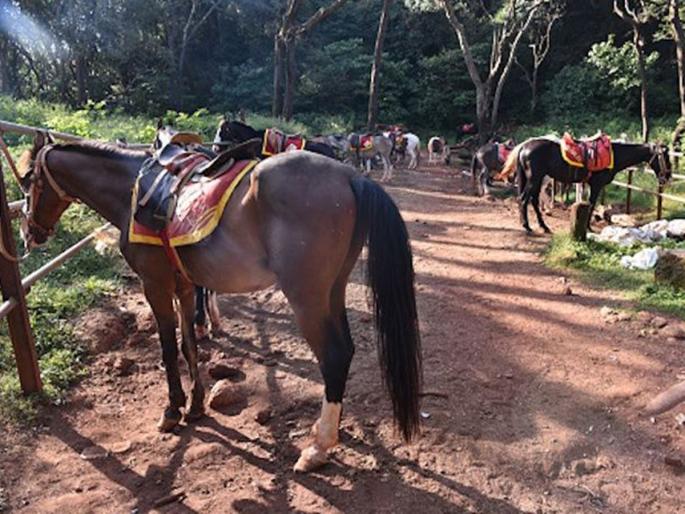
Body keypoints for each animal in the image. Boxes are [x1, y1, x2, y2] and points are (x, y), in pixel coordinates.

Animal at [18, 130, 422, 473]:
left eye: (27, 181)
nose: (28, 233)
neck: (131, 190)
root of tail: (351, 177)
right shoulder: (183, 285)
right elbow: (189, 344)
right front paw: (196, 405)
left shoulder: (155, 285)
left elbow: (168, 348)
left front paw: (172, 410)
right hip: (332, 291)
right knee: (346, 351)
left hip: (307, 298)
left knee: (334, 356)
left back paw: (318, 448)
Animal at [498, 137, 672, 233]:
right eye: (665, 156)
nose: (668, 176)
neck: (614, 155)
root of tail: (524, 146)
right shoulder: (596, 184)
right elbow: (591, 204)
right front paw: (588, 227)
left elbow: (588, 204)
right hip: (534, 179)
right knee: (523, 199)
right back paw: (527, 226)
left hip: (536, 179)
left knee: (532, 200)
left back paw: (543, 226)